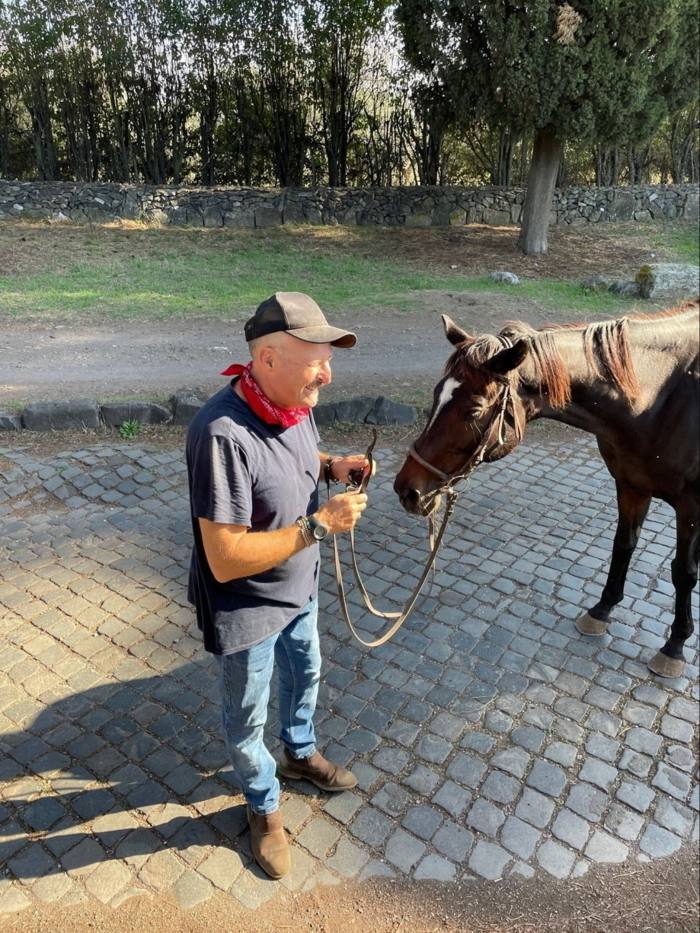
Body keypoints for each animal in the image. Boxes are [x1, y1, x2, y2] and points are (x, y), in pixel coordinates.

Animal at [394, 298, 700, 676]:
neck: (660, 397)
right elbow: (623, 545)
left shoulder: (690, 507)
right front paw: (602, 610)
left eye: (474, 411)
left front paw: (675, 645)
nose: (407, 489)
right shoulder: (631, 485)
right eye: (437, 394)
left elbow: (683, 573)